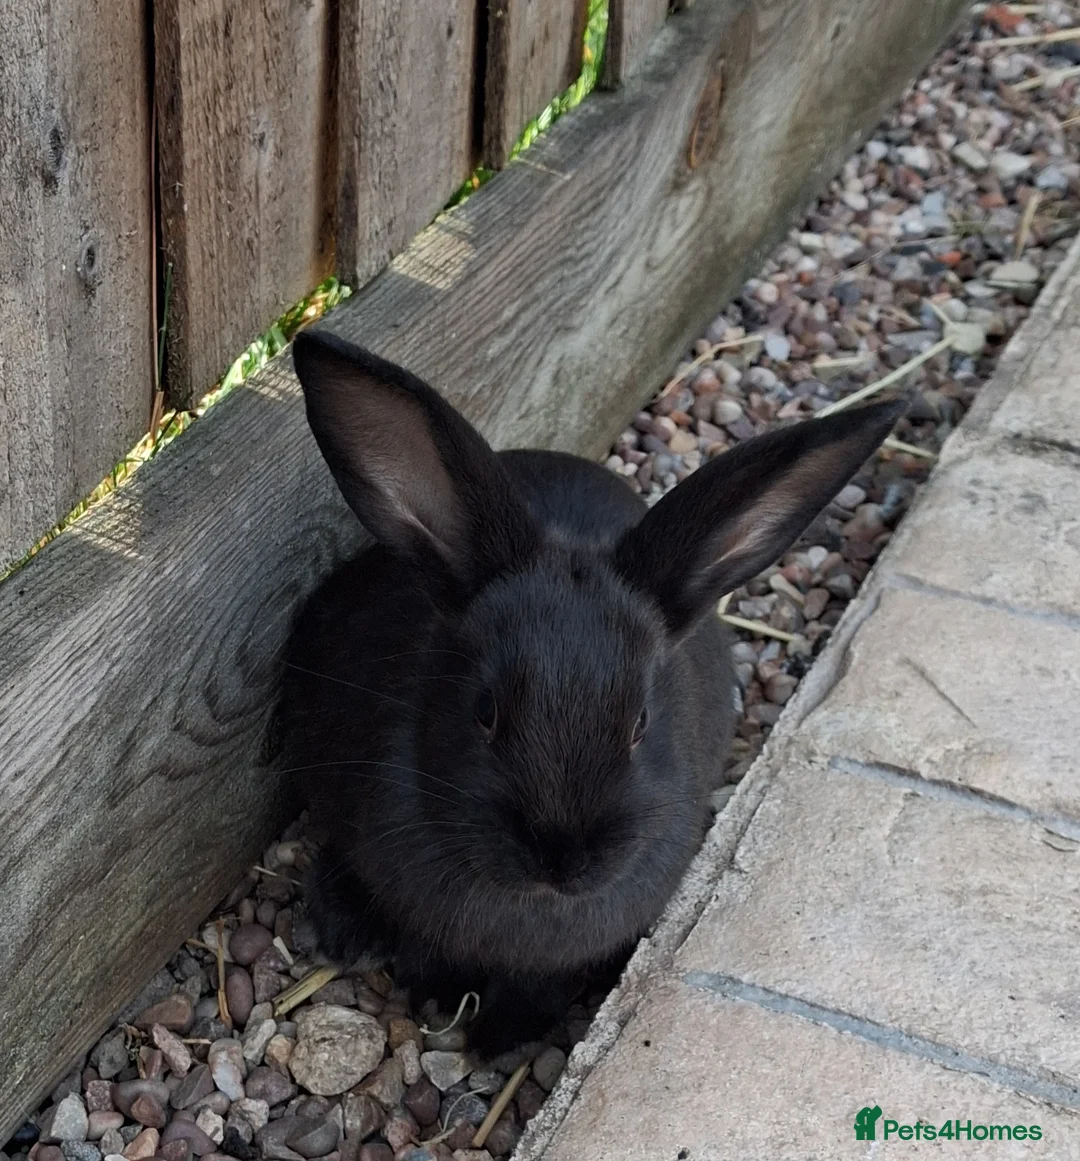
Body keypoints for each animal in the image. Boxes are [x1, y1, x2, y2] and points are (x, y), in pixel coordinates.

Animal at [279, 328, 904, 1056]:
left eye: (640, 723)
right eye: (485, 711)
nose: (561, 857)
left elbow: (536, 984)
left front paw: (500, 1036)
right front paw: (439, 998)